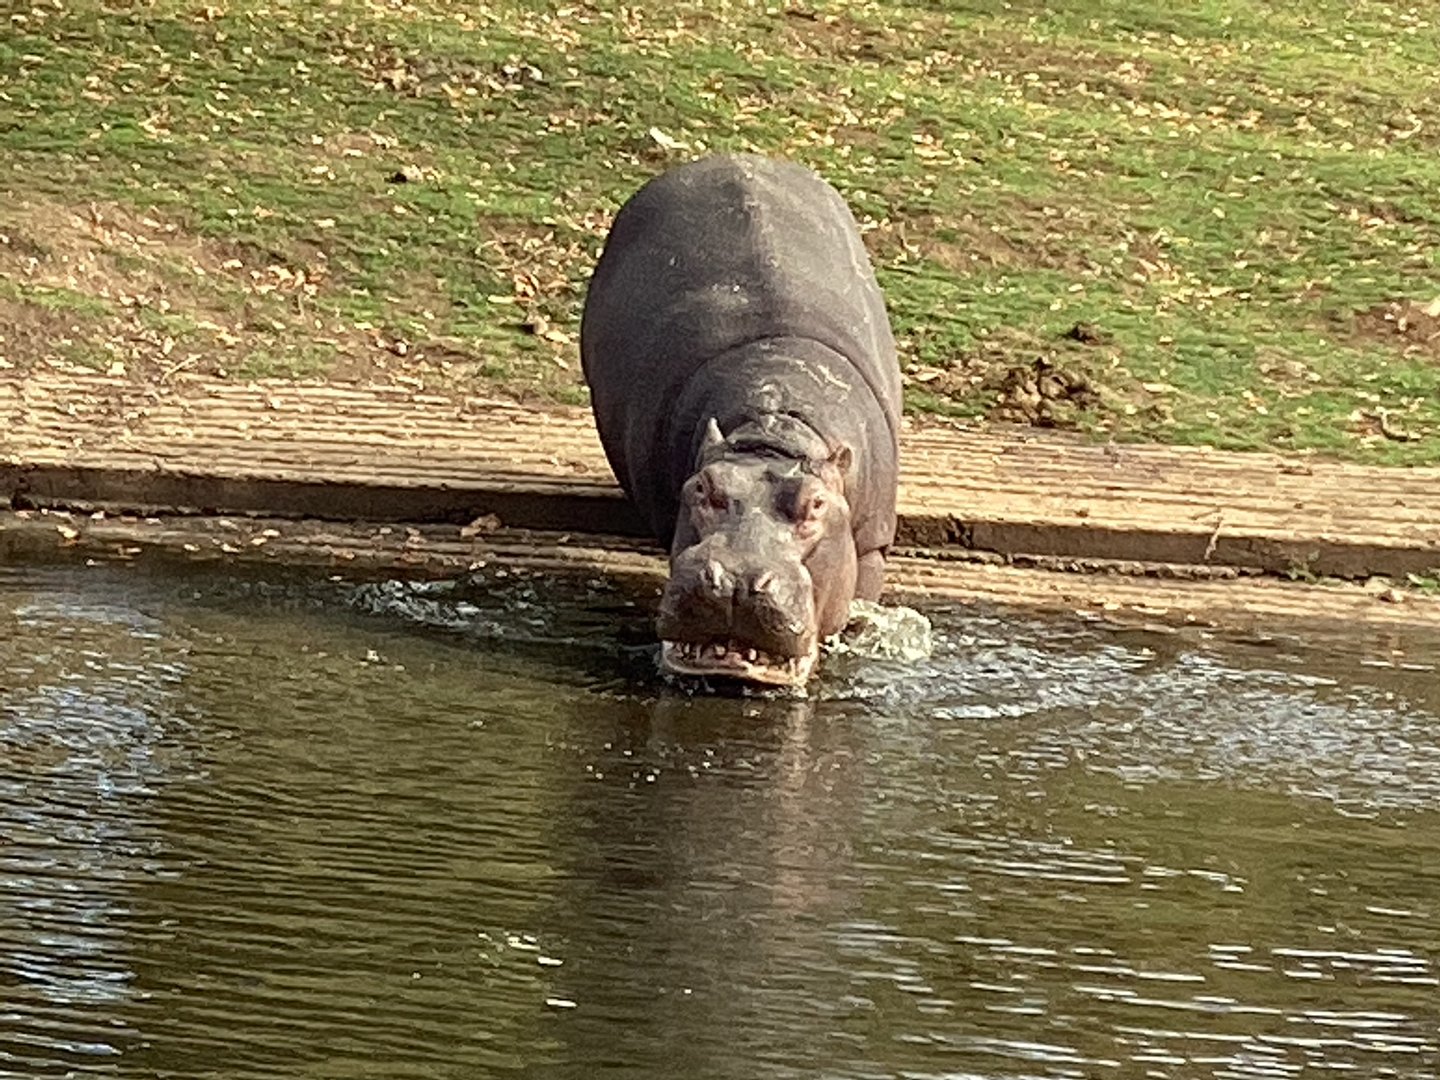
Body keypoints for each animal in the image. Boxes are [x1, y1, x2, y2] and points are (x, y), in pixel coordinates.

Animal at [580, 154, 901, 686]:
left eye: (816, 504)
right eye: (702, 488)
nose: (735, 580)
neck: (775, 432)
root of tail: (733, 156)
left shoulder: (872, 546)